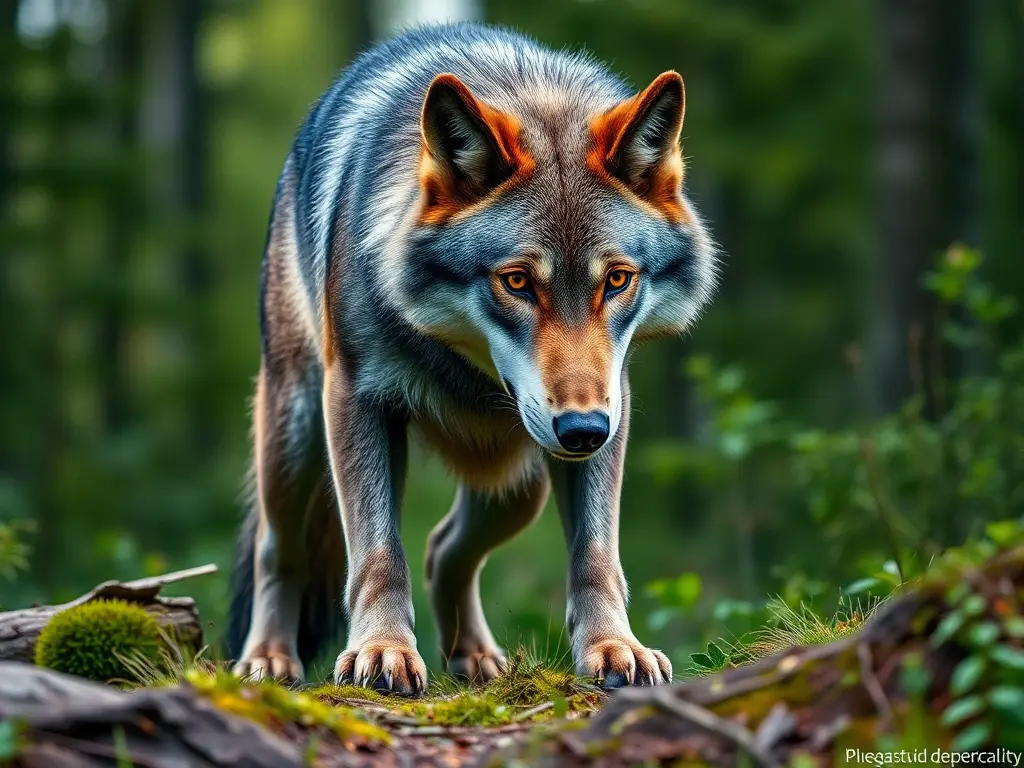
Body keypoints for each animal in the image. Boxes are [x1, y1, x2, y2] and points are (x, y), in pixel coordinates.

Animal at [225, 22, 717, 696]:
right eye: (516, 282)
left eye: (617, 281)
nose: (583, 429)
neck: (463, 371)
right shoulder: (354, 399)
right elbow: (379, 553)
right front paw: (382, 651)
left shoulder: (614, 407)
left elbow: (596, 556)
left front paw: (615, 648)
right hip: (295, 439)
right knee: (279, 551)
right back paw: (268, 659)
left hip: (515, 486)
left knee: (444, 547)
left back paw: (476, 657)